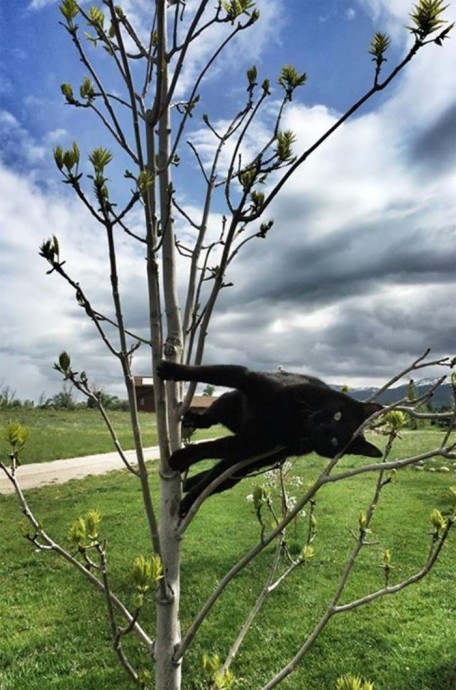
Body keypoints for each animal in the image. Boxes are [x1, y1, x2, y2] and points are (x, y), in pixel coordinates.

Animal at [157, 360, 382, 510]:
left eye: (334, 442)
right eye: (337, 415)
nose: (323, 429)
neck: (294, 418)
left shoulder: (254, 442)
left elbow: (212, 447)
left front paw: (182, 458)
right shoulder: (249, 379)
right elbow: (207, 373)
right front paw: (169, 369)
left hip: (247, 462)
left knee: (214, 479)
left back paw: (186, 501)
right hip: (229, 403)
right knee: (211, 417)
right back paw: (193, 419)